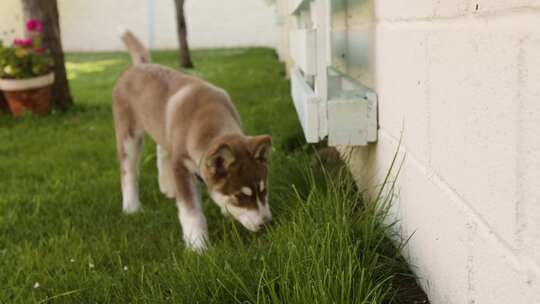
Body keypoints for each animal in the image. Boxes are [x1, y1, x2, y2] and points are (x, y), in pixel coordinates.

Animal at [114, 29, 274, 251]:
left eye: (263, 189)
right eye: (239, 196)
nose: (266, 225)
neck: (209, 117)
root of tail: (138, 65)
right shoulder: (182, 166)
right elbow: (191, 211)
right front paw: (198, 246)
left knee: (162, 149)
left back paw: (167, 187)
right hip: (128, 134)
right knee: (128, 171)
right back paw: (131, 207)